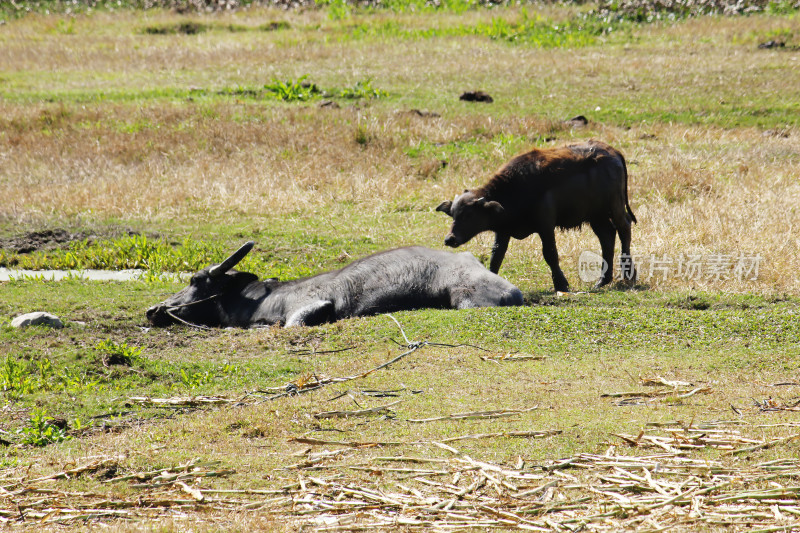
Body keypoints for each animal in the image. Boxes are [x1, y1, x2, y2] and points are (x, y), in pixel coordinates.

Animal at [438, 139, 636, 290]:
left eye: (469, 215)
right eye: (453, 215)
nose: (450, 239)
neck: (514, 189)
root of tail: (613, 152)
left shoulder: (545, 225)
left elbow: (550, 254)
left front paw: (561, 284)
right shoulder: (503, 231)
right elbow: (496, 256)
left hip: (615, 206)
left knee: (624, 228)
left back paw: (629, 275)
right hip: (595, 215)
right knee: (607, 236)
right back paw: (602, 280)